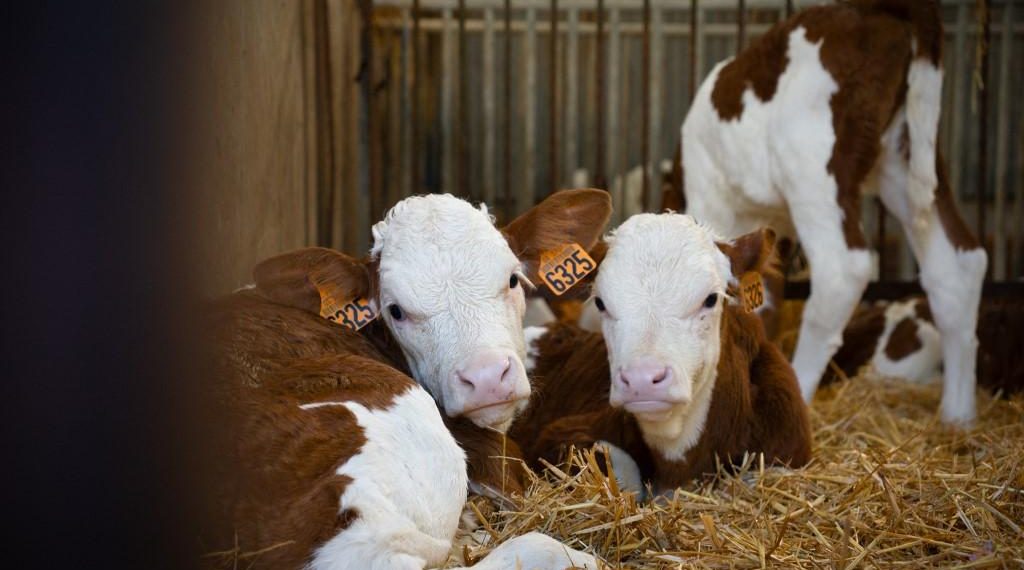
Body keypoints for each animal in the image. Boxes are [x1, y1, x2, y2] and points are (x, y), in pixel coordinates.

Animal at [671, 0, 986, 424]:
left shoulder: (712, 198)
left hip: (816, 167)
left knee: (843, 269)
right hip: (904, 162)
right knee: (957, 266)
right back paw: (958, 416)